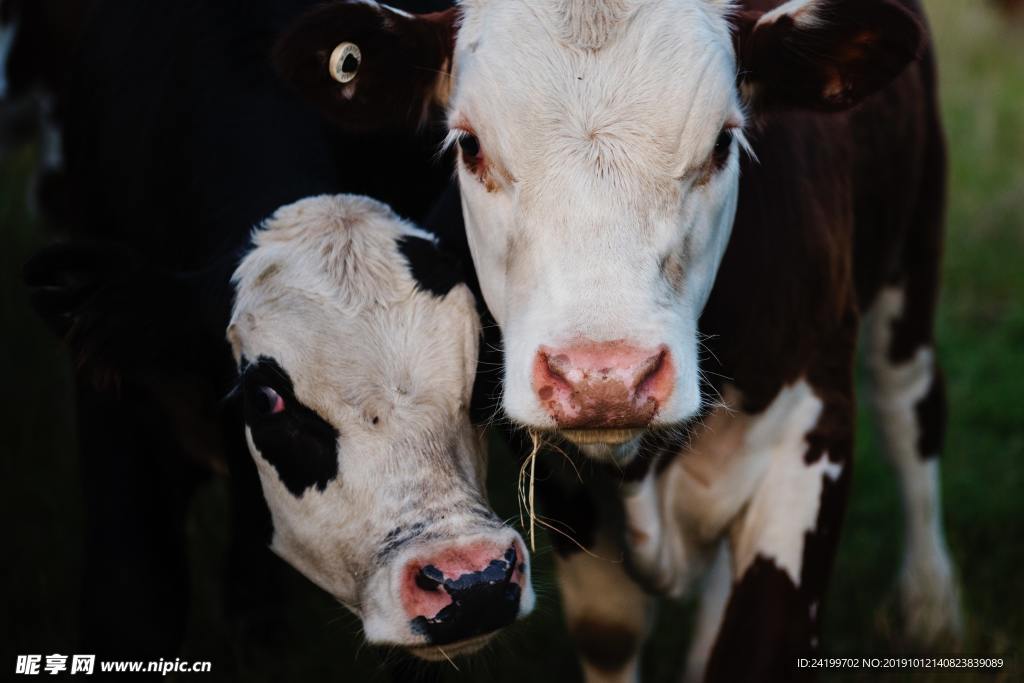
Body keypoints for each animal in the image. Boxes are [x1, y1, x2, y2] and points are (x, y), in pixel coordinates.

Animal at [278, 0, 958, 679]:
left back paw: (930, 602)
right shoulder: (565, 488)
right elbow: (612, 630)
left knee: (908, 404)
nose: (602, 380)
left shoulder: (812, 432)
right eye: (469, 145)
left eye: (723, 143)